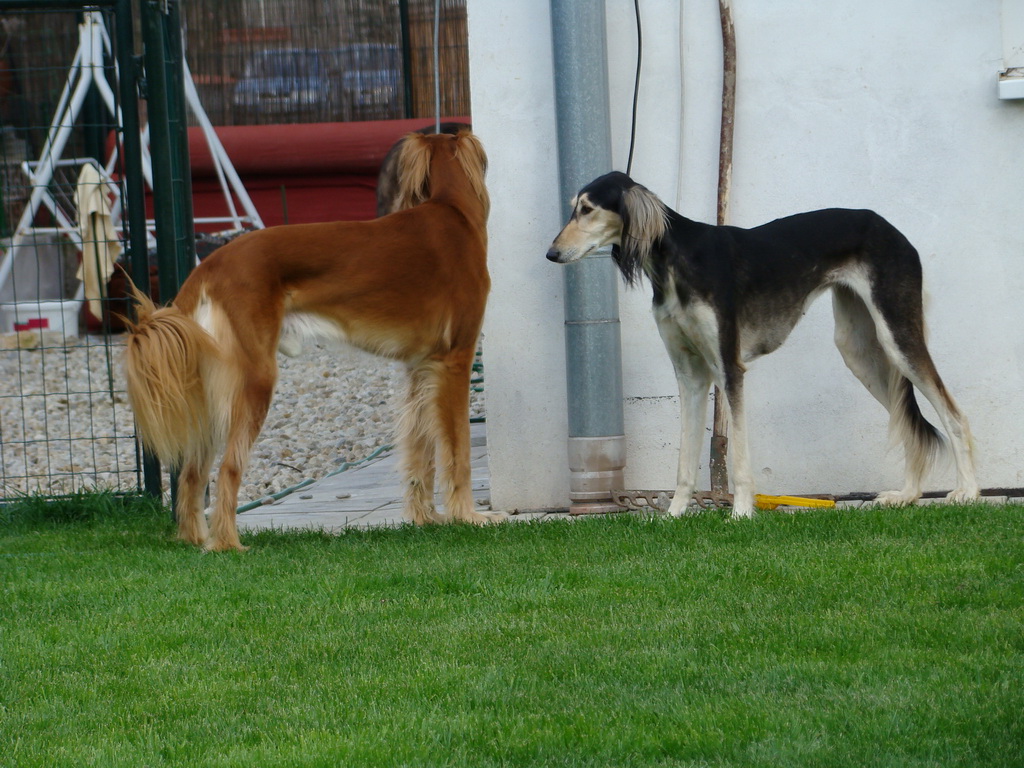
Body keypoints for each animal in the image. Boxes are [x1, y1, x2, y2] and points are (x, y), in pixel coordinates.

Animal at [121, 134, 497, 552]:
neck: (451, 210)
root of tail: (209, 265)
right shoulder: (455, 361)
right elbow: (458, 450)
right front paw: (468, 515)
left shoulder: (420, 369)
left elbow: (420, 449)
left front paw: (425, 517)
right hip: (254, 380)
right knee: (228, 467)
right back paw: (228, 543)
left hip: (211, 389)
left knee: (191, 472)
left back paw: (194, 540)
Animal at [548, 172, 978, 520]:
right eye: (574, 209)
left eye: (587, 209)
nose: (551, 253)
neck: (675, 259)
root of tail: (891, 228)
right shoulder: (689, 375)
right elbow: (684, 459)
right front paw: (674, 515)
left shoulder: (729, 366)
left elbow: (738, 454)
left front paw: (740, 513)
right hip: (860, 350)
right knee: (905, 418)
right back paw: (907, 495)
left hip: (897, 335)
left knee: (954, 415)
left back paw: (968, 492)